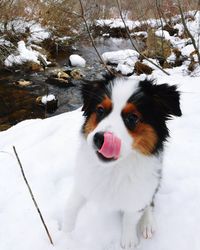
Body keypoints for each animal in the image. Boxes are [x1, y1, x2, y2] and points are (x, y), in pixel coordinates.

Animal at [63, 77, 182, 249]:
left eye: (132, 117)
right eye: (100, 110)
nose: (100, 139)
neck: (114, 169)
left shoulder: (138, 192)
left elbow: (131, 218)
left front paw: (129, 241)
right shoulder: (86, 179)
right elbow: (72, 205)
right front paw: (65, 231)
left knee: (150, 202)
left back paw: (147, 223)